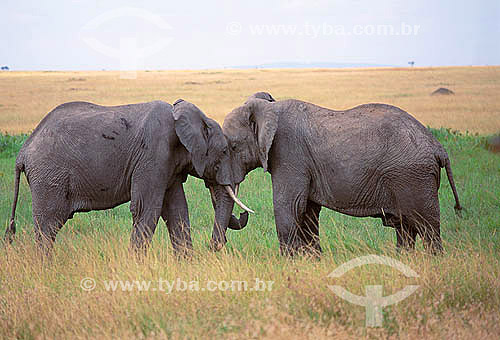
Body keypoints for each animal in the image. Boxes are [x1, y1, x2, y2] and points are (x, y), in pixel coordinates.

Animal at [4, 99, 252, 255]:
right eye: (225, 151)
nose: (212, 247)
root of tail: (22, 152)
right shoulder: (154, 153)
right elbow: (146, 208)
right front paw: (137, 268)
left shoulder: (168, 164)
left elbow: (177, 210)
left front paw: (186, 265)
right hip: (49, 178)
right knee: (48, 226)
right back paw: (46, 268)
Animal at [209, 91, 462, 256]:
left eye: (232, 147)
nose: (215, 249)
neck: (269, 108)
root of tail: (439, 147)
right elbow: (307, 210)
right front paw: (312, 261)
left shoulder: (290, 153)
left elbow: (288, 204)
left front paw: (289, 262)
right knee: (406, 229)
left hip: (413, 177)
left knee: (427, 227)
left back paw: (434, 261)